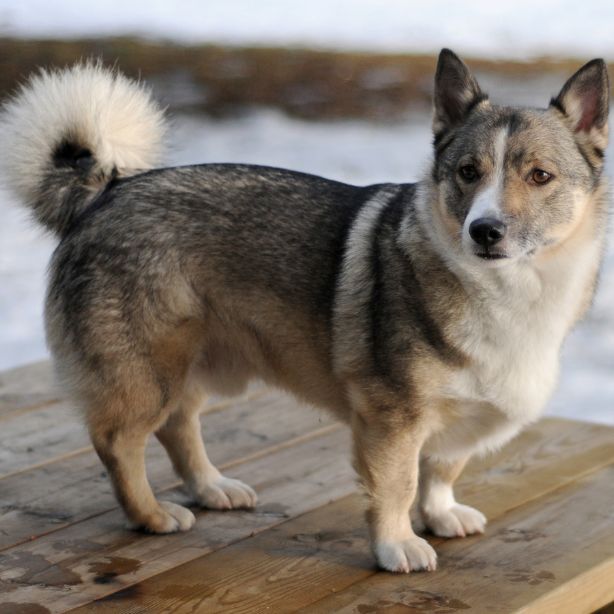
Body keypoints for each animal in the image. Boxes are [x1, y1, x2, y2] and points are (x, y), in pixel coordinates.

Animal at [0, 50, 608, 576]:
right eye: (467, 172)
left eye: (539, 176)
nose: (484, 231)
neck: (509, 289)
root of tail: (105, 192)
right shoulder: (392, 418)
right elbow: (398, 485)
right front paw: (397, 544)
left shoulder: (448, 421)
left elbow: (441, 469)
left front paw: (439, 514)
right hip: (148, 373)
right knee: (119, 442)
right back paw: (150, 515)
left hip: (195, 363)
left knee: (179, 424)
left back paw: (211, 487)